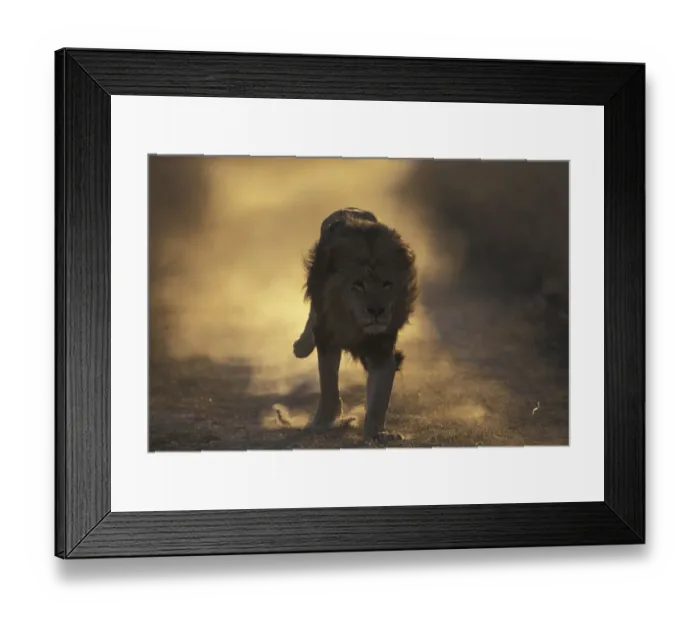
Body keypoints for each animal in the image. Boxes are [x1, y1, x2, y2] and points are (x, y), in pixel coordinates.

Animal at [293, 207, 418, 444]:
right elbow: (328, 384)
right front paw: (323, 421)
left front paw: (377, 433)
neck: (357, 327)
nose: (376, 311)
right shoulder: (328, 337)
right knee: (312, 317)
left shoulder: (382, 350)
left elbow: (379, 399)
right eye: (358, 285)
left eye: (387, 284)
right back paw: (300, 347)